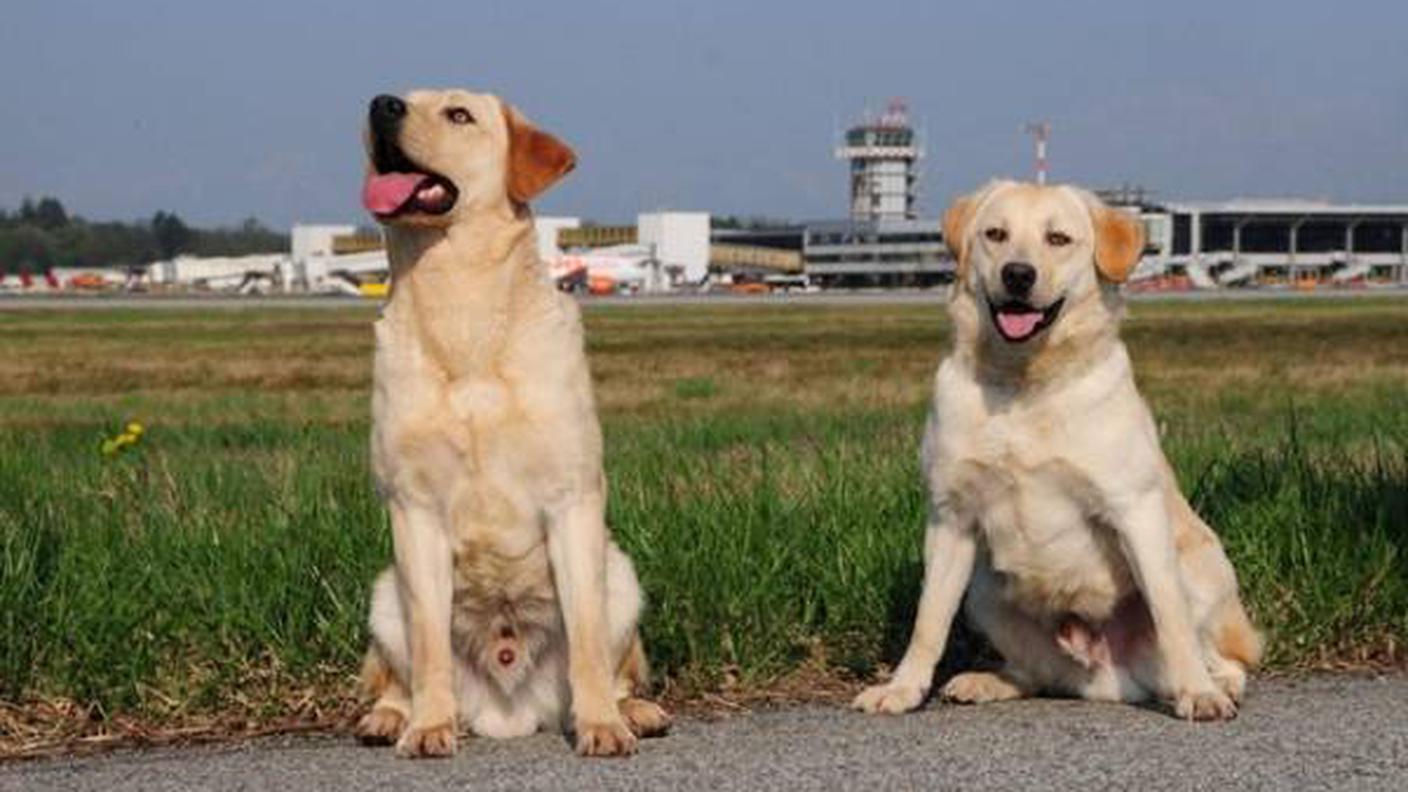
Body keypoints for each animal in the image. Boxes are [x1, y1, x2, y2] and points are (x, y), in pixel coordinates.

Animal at [360, 90, 673, 760]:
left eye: (458, 114)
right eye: (400, 96)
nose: (381, 104)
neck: (464, 308)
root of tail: (510, 713)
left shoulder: (573, 499)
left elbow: (586, 641)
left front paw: (602, 724)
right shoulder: (413, 509)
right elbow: (429, 645)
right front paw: (428, 725)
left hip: (622, 573)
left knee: (614, 664)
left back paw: (633, 711)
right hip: (383, 592)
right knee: (398, 673)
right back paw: (393, 717)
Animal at [856, 180, 1267, 721]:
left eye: (1058, 239)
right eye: (995, 234)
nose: (1017, 274)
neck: (1024, 384)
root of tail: (1110, 677)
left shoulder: (1135, 510)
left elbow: (1170, 614)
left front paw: (1197, 692)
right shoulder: (951, 518)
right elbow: (929, 620)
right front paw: (903, 688)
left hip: (1201, 564)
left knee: (1223, 656)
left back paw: (1213, 684)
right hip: (985, 592)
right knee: (1036, 674)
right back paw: (989, 681)